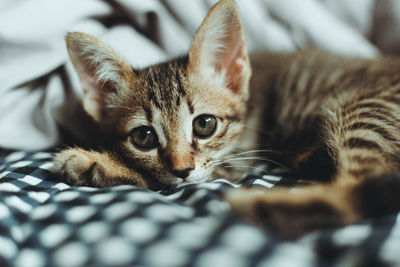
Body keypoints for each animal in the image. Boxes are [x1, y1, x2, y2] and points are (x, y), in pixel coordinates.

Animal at [52, 0, 400, 239]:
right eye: (144, 138)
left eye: (204, 125)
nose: (182, 170)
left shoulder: (239, 158)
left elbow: (162, 181)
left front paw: (96, 163)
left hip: (364, 111)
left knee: (367, 188)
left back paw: (262, 208)